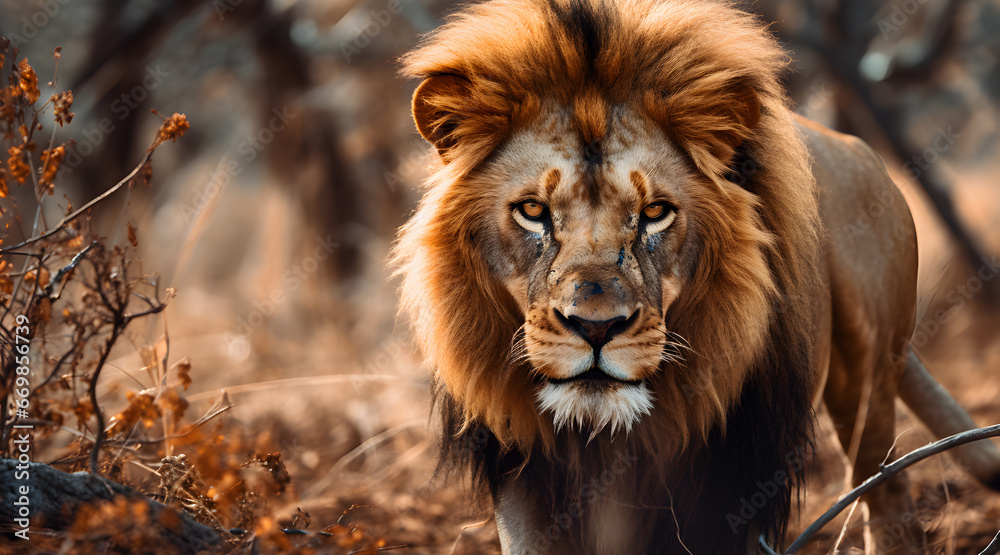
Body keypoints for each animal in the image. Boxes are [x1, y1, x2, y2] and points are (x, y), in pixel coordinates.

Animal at [393, 0, 1000, 553]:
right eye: (532, 211)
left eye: (656, 212)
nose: (596, 328)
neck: (608, 438)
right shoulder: (524, 477)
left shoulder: (731, 485)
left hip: (870, 375)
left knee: (887, 496)